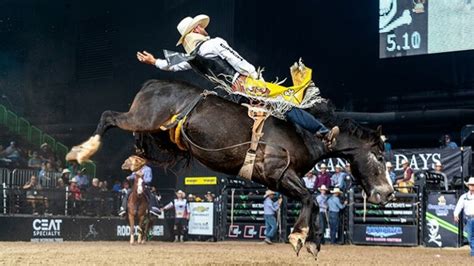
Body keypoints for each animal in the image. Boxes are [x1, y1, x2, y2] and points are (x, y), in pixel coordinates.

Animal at [65, 78, 392, 258]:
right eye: (378, 156)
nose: (388, 193)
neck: (304, 134)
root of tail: (153, 84)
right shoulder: (278, 173)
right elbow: (311, 198)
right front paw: (300, 236)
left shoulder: (278, 181)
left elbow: (313, 204)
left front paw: (312, 242)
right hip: (142, 118)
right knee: (109, 117)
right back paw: (82, 151)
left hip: (161, 133)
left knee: (142, 145)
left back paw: (132, 160)